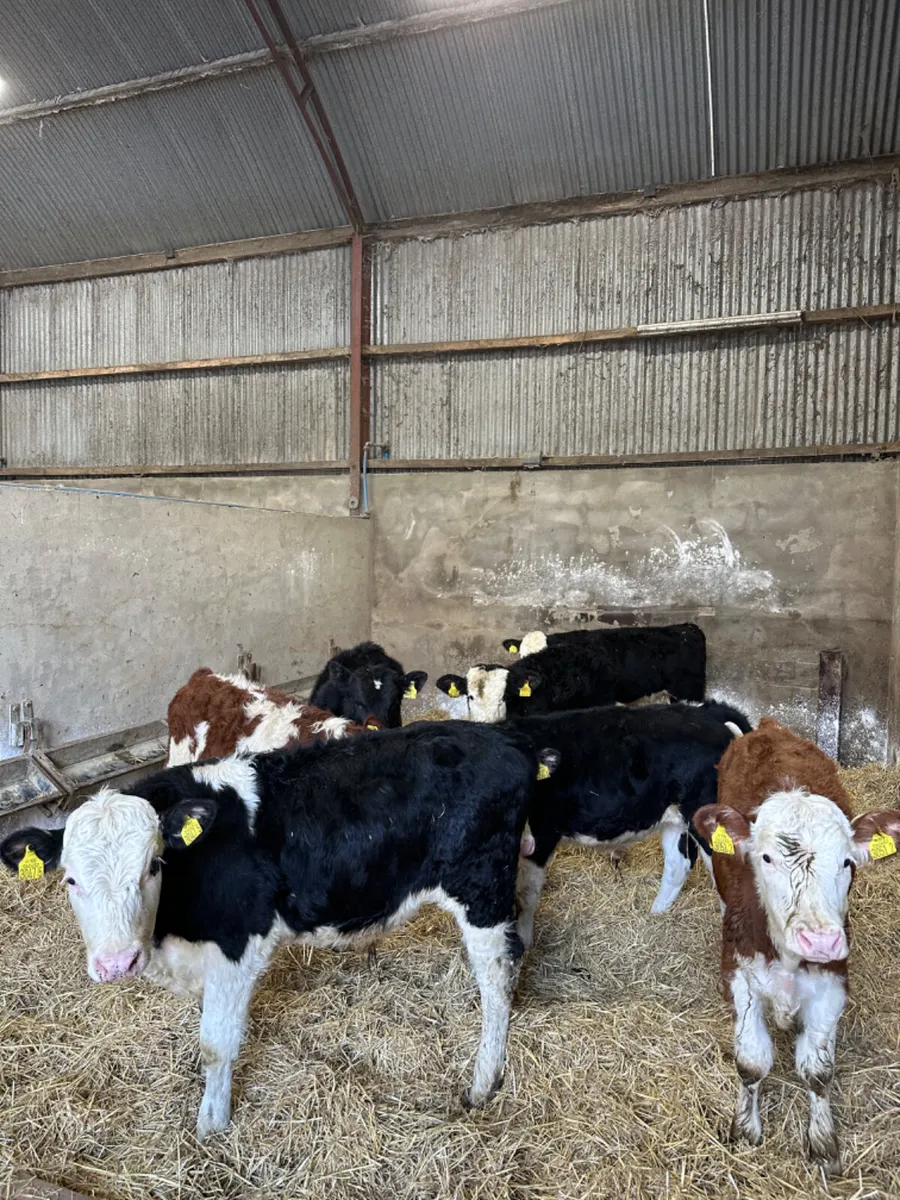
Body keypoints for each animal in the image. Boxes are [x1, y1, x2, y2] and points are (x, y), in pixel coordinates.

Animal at [1, 723, 559, 1140]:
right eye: (71, 879)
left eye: (153, 866)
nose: (117, 963)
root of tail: (506, 740)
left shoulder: (236, 947)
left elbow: (216, 1044)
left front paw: (212, 1126)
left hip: (479, 887)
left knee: (496, 975)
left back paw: (483, 1081)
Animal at [505, 700, 751, 946]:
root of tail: (708, 711)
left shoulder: (541, 833)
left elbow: (526, 896)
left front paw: (525, 943)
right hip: (677, 817)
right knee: (679, 862)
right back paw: (656, 913)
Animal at [692, 718, 900, 1175]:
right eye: (766, 859)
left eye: (847, 862)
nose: (819, 939)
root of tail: (769, 727)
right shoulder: (740, 976)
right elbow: (751, 1062)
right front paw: (746, 1129)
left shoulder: (832, 982)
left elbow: (818, 1070)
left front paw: (823, 1144)